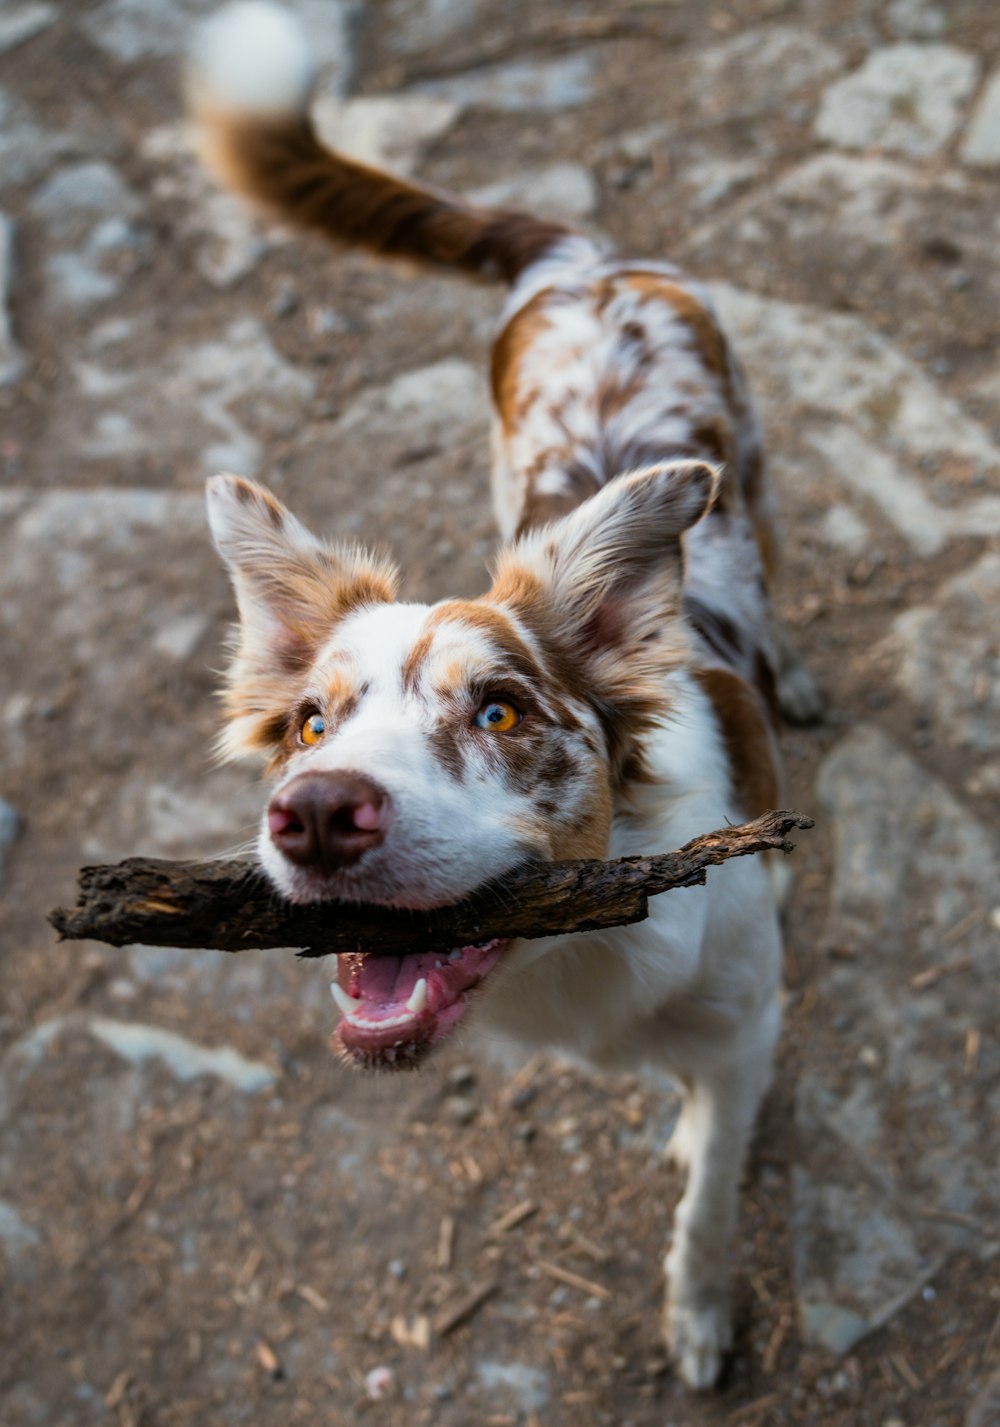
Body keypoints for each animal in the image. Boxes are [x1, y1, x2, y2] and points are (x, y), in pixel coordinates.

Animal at [185, 0, 821, 1381]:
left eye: (499, 710)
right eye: (310, 722)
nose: (316, 814)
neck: (571, 956)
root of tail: (583, 258)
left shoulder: (747, 1023)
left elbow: (709, 1195)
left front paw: (700, 1310)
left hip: (749, 454)